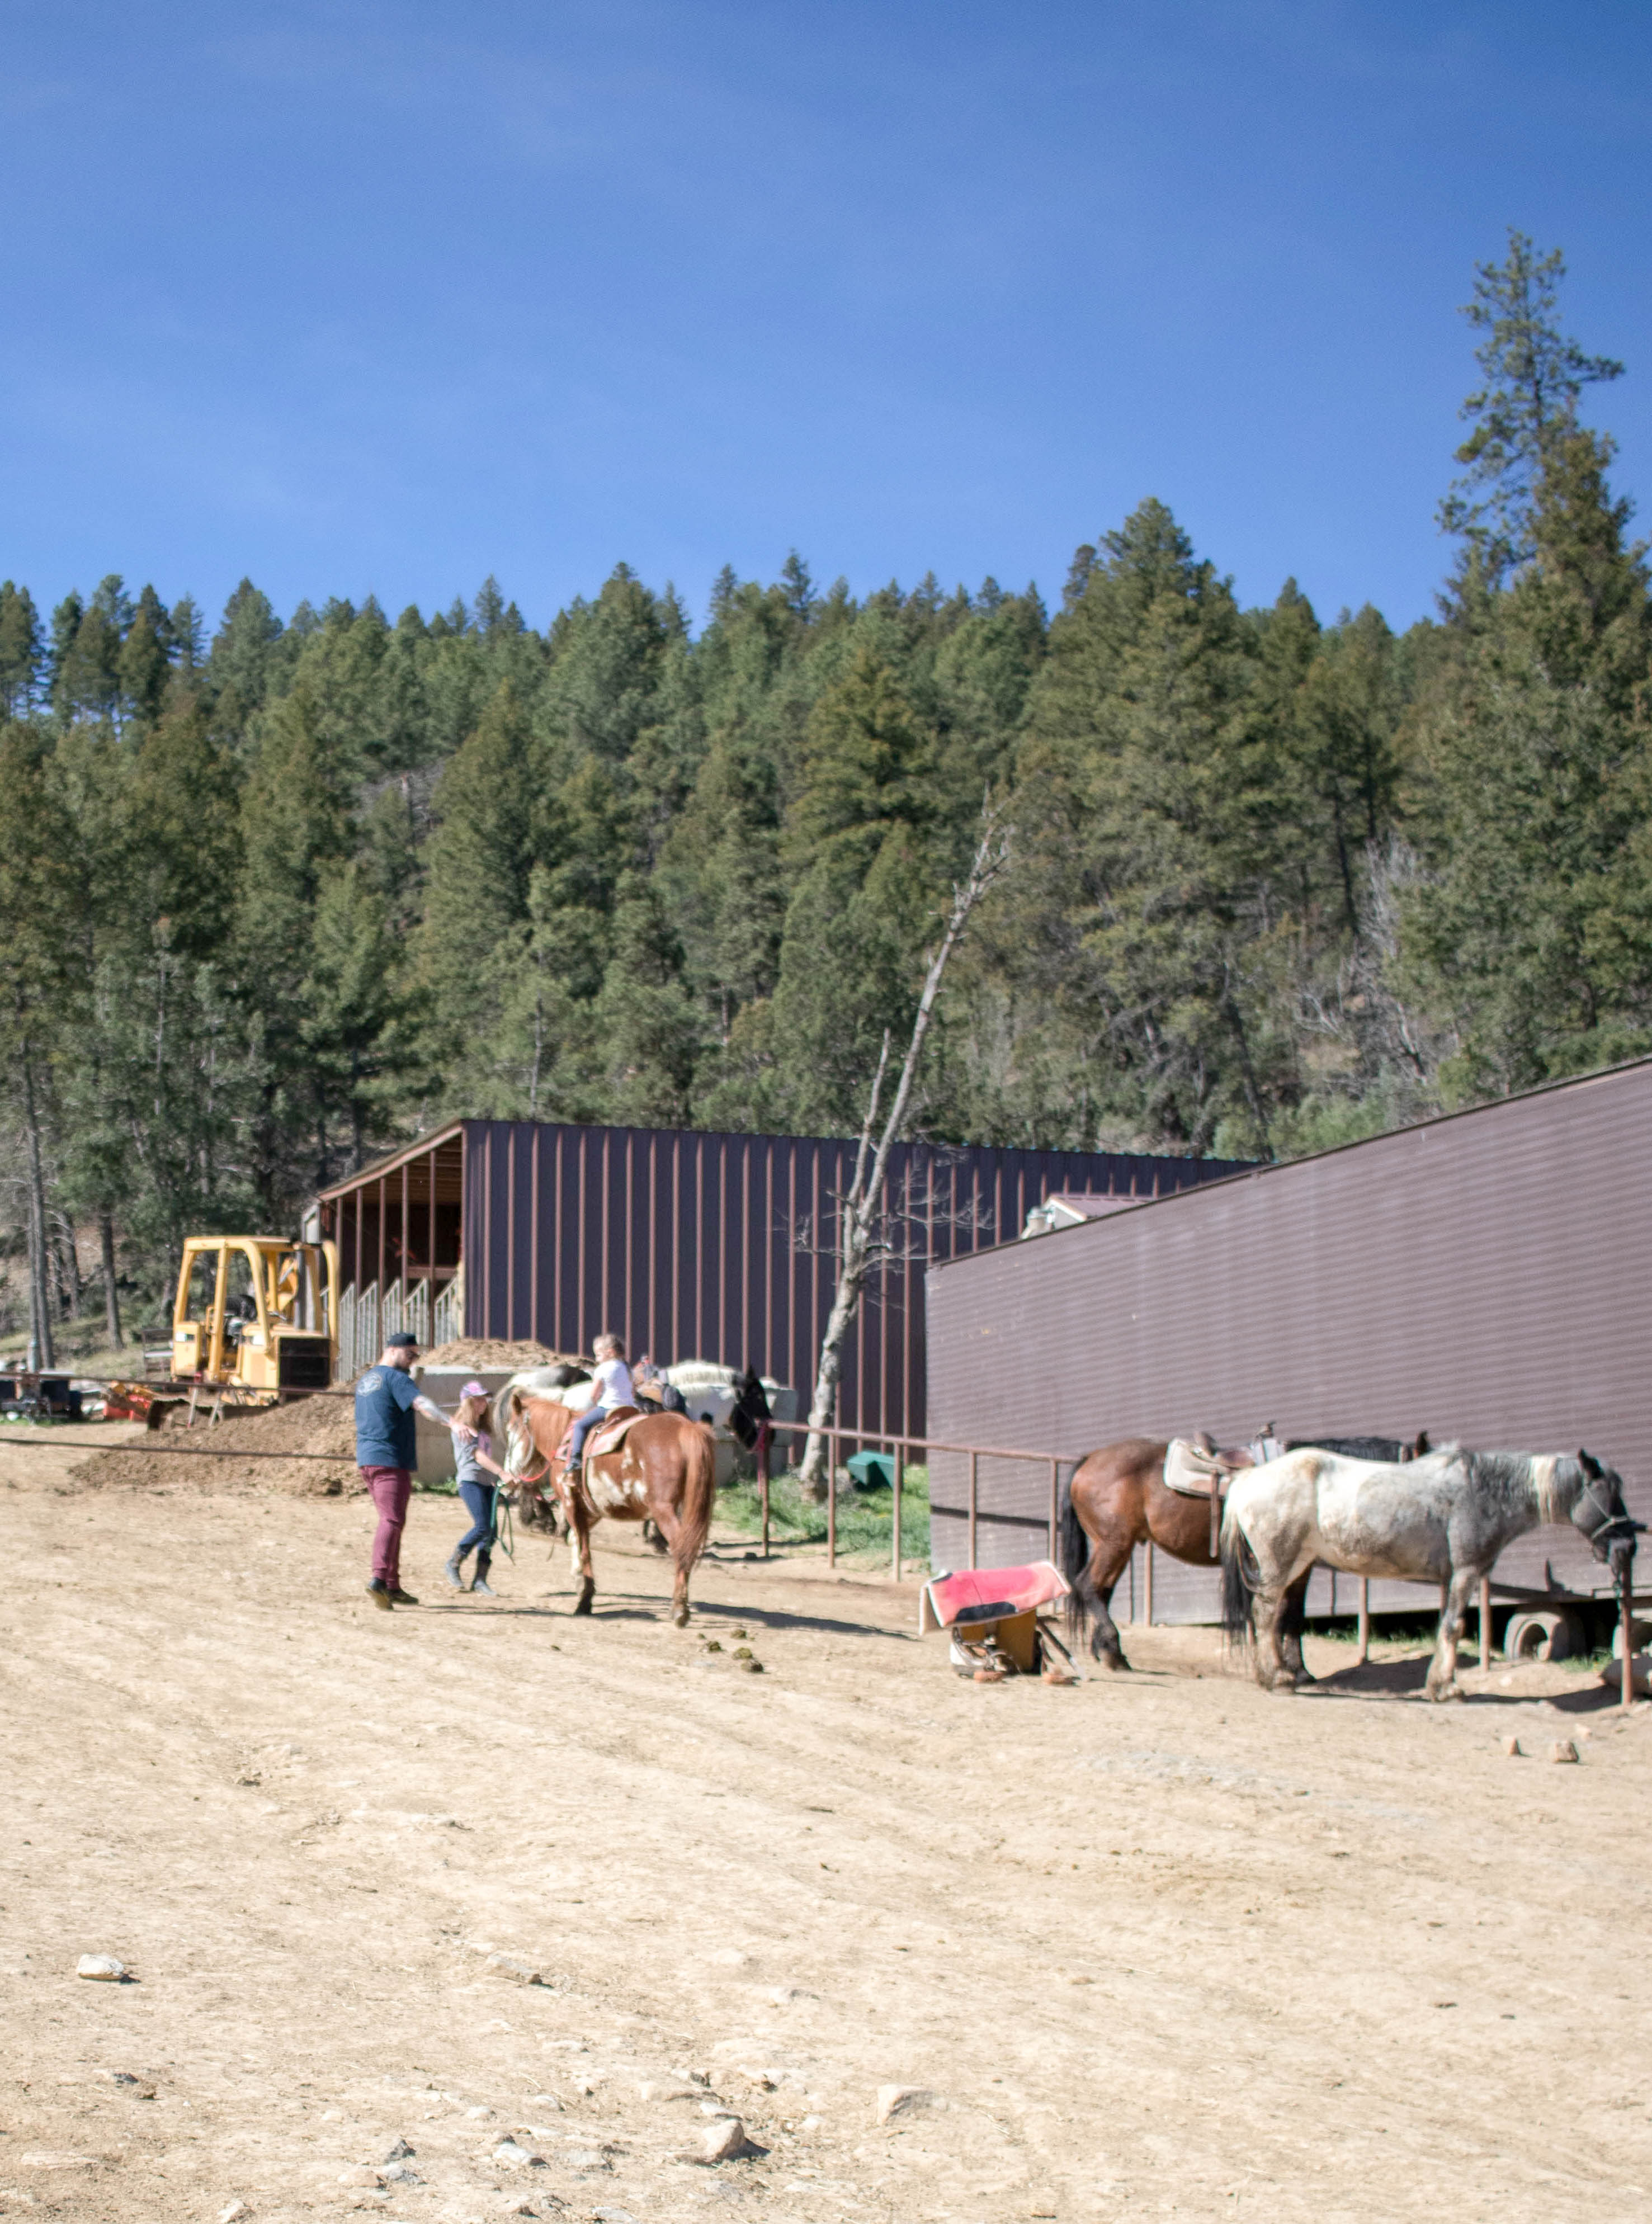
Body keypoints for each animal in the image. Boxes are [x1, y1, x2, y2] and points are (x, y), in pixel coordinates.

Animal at [500, 1378, 716, 1628]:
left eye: (510, 1432)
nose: (506, 1481)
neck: (562, 1437)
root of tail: (686, 1428)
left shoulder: (571, 1503)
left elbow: (584, 1549)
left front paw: (585, 1600)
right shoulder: (593, 1508)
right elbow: (574, 1539)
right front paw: (578, 1580)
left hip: (664, 1510)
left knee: (682, 1548)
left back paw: (679, 1608)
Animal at [1067, 1432, 1432, 1672]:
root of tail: (1090, 1459)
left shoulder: (1302, 1565)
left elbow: (1294, 1613)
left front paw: (1298, 1669)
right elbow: (1283, 1612)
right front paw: (1288, 1669)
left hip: (1119, 1546)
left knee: (1100, 1591)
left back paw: (1106, 1651)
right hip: (1114, 1543)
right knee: (1089, 1586)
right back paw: (1113, 1653)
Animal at [1218, 1441, 1636, 1699]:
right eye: (1606, 1493)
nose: (1628, 1547)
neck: (1483, 1493)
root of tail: (1248, 1479)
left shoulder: (1452, 1578)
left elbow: (1446, 1627)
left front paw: (1441, 1682)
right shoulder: (1466, 1573)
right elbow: (1453, 1627)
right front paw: (1446, 1688)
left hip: (1296, 1564)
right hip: (1278, 1564)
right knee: (1265, 1615)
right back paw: (1275, 1678)